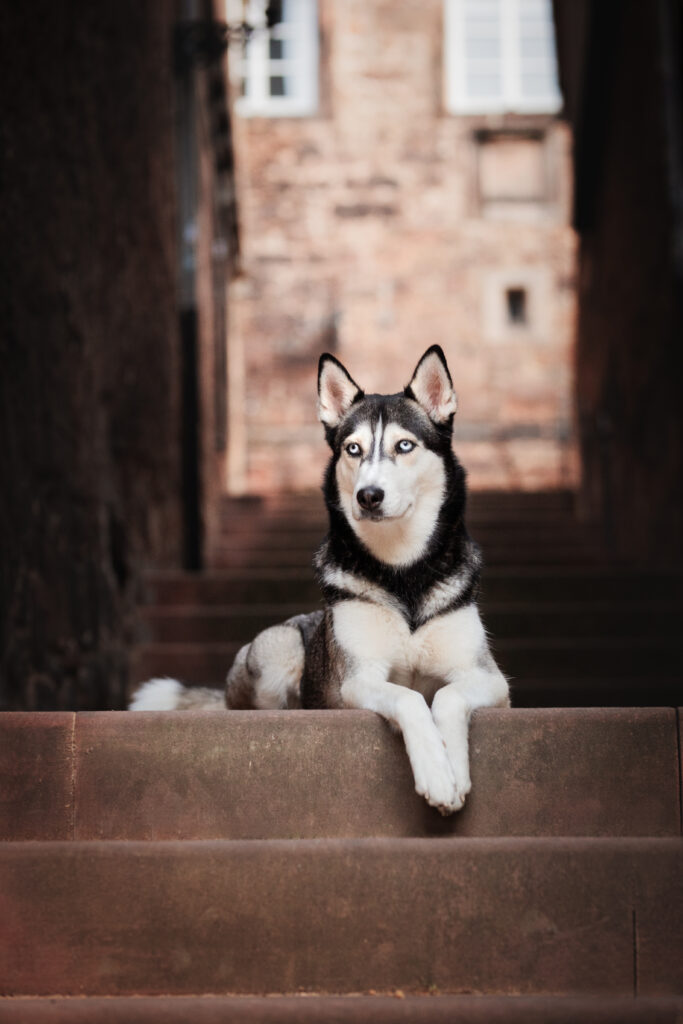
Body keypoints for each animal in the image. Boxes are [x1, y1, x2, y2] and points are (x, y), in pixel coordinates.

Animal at [131, 346, 509, 815]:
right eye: (353, 449)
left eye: (404, 445)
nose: (369, 495)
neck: (403, 571)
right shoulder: (357, 680)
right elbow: (409, 697)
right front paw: (437, 776)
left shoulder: (490, 679)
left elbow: (446, 696)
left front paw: (452, 767)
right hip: (278, 648)